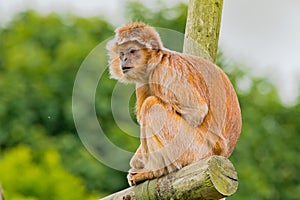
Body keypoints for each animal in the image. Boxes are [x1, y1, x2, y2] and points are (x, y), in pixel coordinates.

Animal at [106, 22, 241, 187]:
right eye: (122, 53)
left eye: (132, 51)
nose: (124, 59)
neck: (157, 60)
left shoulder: (165, 71)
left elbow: (197, 111)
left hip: (194, 150)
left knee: (152, 105)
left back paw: (156, 171)